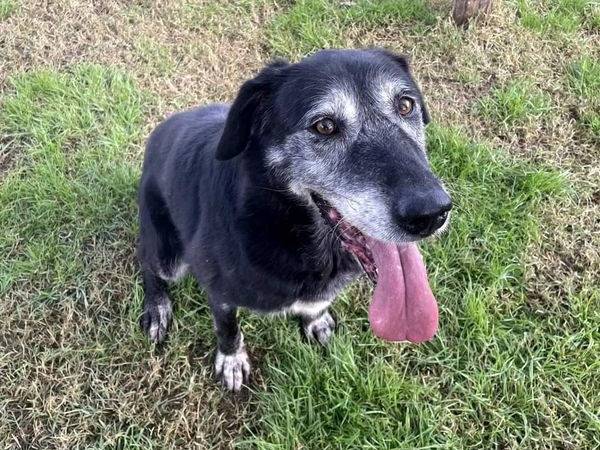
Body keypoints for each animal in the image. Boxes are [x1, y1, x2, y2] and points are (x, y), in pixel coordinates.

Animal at [138, 48, 450, 390]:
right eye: (324, 126)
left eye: (406, 105)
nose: (431, 213)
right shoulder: (218, 291)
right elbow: (227, 327)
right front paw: (231, 360)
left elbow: (316, 305)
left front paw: (316, 320)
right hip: (166, 252)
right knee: (147, 264)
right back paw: (157, 309)